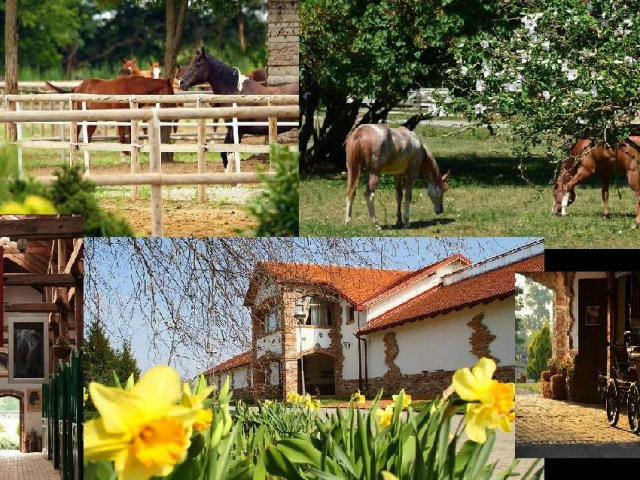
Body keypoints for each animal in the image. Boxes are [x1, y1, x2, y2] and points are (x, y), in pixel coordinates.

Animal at [46, 76, 174, 144]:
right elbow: (122, 136)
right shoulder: (121, 118)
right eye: (170, 92)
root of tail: (77, 88)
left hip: (92, 119)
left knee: (88, 134)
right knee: (77, 131)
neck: (130, 89)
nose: (174, 107)